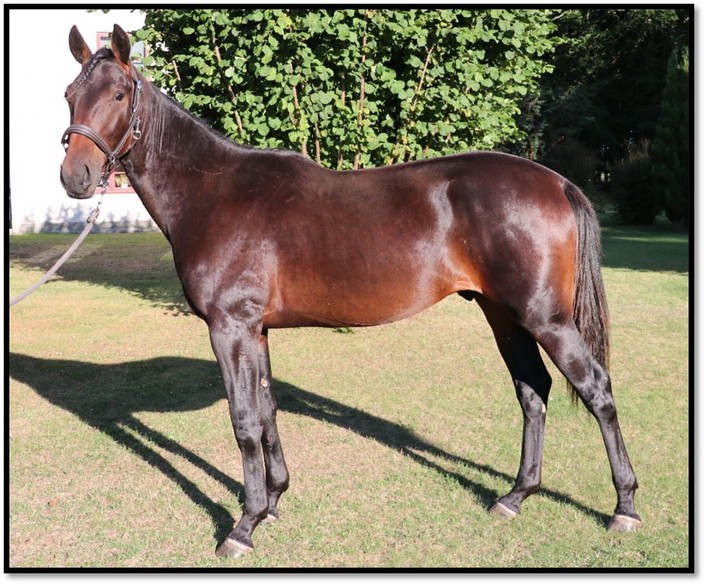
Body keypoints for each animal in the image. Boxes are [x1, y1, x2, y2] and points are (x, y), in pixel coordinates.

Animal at [59, 24, 641, 558]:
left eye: (118, 95)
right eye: (69, 94)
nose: (75, 176)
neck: (214, 191)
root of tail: (556, 182)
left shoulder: (230, 328)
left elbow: (244, 420)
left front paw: (243, 527)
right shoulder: (257, 330)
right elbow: (267, 411)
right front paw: (273, 502)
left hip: (545, 318)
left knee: (596, 389)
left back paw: (624, 507)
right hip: (504, 315)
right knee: (532, 391)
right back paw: (516, 496)